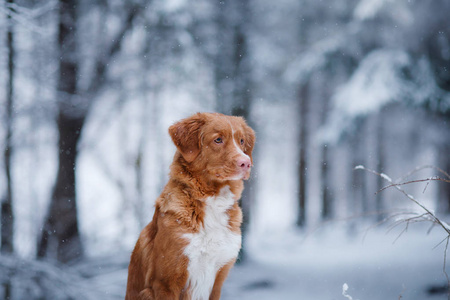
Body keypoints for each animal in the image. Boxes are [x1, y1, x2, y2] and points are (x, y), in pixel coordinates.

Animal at [125, 112, 255, 300]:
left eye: (242, 141)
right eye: (218, 140)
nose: (246, 163)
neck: (213, 201)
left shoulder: (218, 280)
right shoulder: (165, 283)